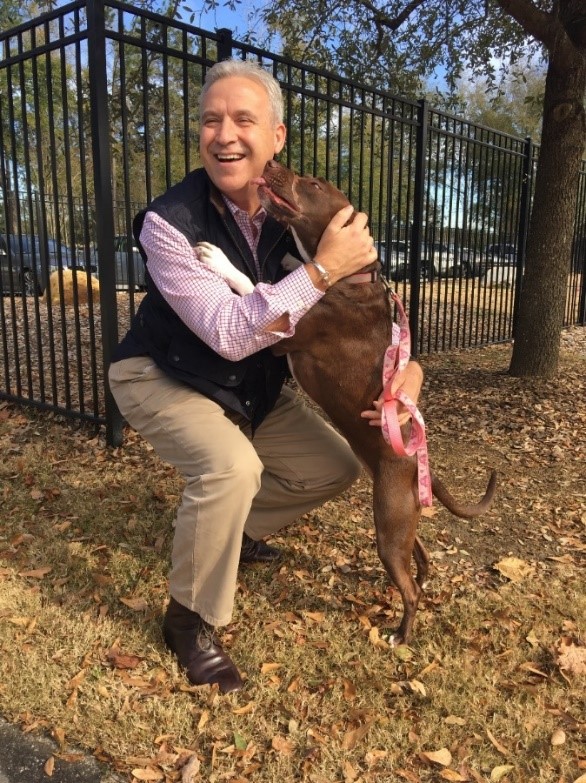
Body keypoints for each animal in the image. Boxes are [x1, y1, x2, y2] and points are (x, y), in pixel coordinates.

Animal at [198, 158, 496, 644]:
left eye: (313, 183)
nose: (271, 163)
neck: (349, 280)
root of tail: (419, 465)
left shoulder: (280, 327)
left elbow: (256, 287)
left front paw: (219, 259)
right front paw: (288, 260)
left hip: (388, 524)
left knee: (409, 588)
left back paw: (400, 633)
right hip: (401, 520)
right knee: (420, 558)